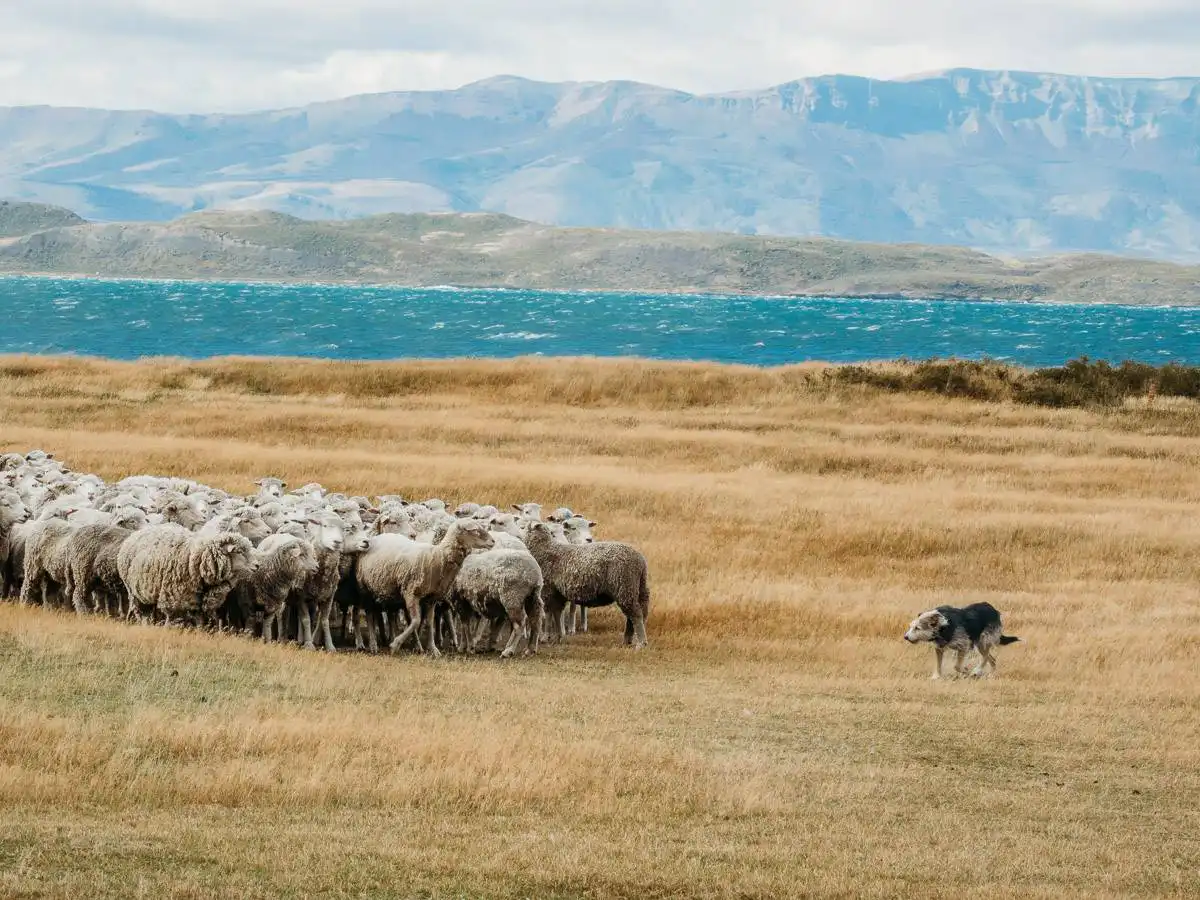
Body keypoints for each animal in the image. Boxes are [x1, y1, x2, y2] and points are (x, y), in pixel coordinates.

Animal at [117, 525, 255, 626]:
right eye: (240, 552)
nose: (257, 565)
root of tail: (136, 533)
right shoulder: (173, 595)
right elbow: (172, 616)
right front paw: (169, 628)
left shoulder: (199, 599)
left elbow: (200, 618)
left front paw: (200, 631)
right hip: (134, 592)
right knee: (142, 611)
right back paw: (145, 625)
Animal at [356, 521, 494, 657]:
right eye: (474, 530)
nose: (493, 541)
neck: (436, 557)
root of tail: (378, 537)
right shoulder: (411, 593)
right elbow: (416, 621)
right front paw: (395, 644)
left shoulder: (431, 598)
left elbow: (429, 622)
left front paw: (433, 648)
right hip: (365, 588)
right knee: (369, 614)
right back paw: (374, 644)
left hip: (390, 591)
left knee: (391, 615)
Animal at [521, 520, 650, 649]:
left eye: (523, 527)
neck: (544, 549)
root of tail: (640, 560)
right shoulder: (557, 593)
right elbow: (557, 613)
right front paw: (559, 636)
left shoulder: (548, 590)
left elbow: (549, 614)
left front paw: (545, 637)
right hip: (638, 587)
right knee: (637, 614)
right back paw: (628, 640)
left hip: (625, 587)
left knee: (636, 614)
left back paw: (641, 643)